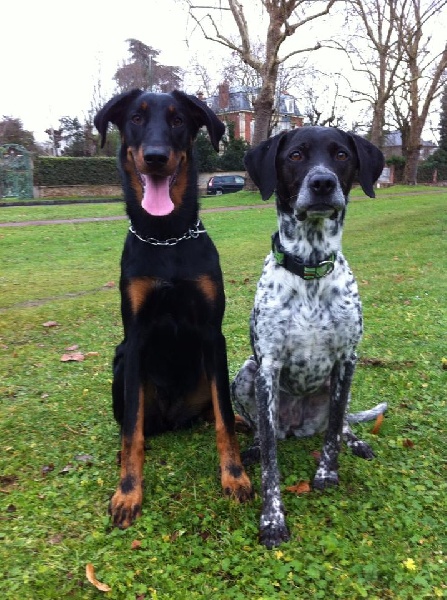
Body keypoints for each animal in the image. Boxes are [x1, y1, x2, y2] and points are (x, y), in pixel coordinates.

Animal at [93, 90, 256, 528]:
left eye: (179, 120)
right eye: (135, 118)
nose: (155, 156)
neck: (165, 237)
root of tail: (172, 418)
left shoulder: (213, 334)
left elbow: (222, 419)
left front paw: (234, 476)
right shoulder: (133, 339)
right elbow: (132, 430)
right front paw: (128, 492)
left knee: (215, 410)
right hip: (121, 364)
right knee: (133, 426)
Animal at [233, 126, 386, 548]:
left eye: (341, 155)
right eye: (296, 155)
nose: (322, 183)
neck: (310, 268)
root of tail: (296, 428)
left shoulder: (347, 360)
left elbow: (333, 430)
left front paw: (326, 474)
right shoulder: (267, 367)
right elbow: (271, 462)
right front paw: (272, 519)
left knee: (342, 421)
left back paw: (356, 441)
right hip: (245, 372)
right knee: (262, 429)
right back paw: (255, 444)